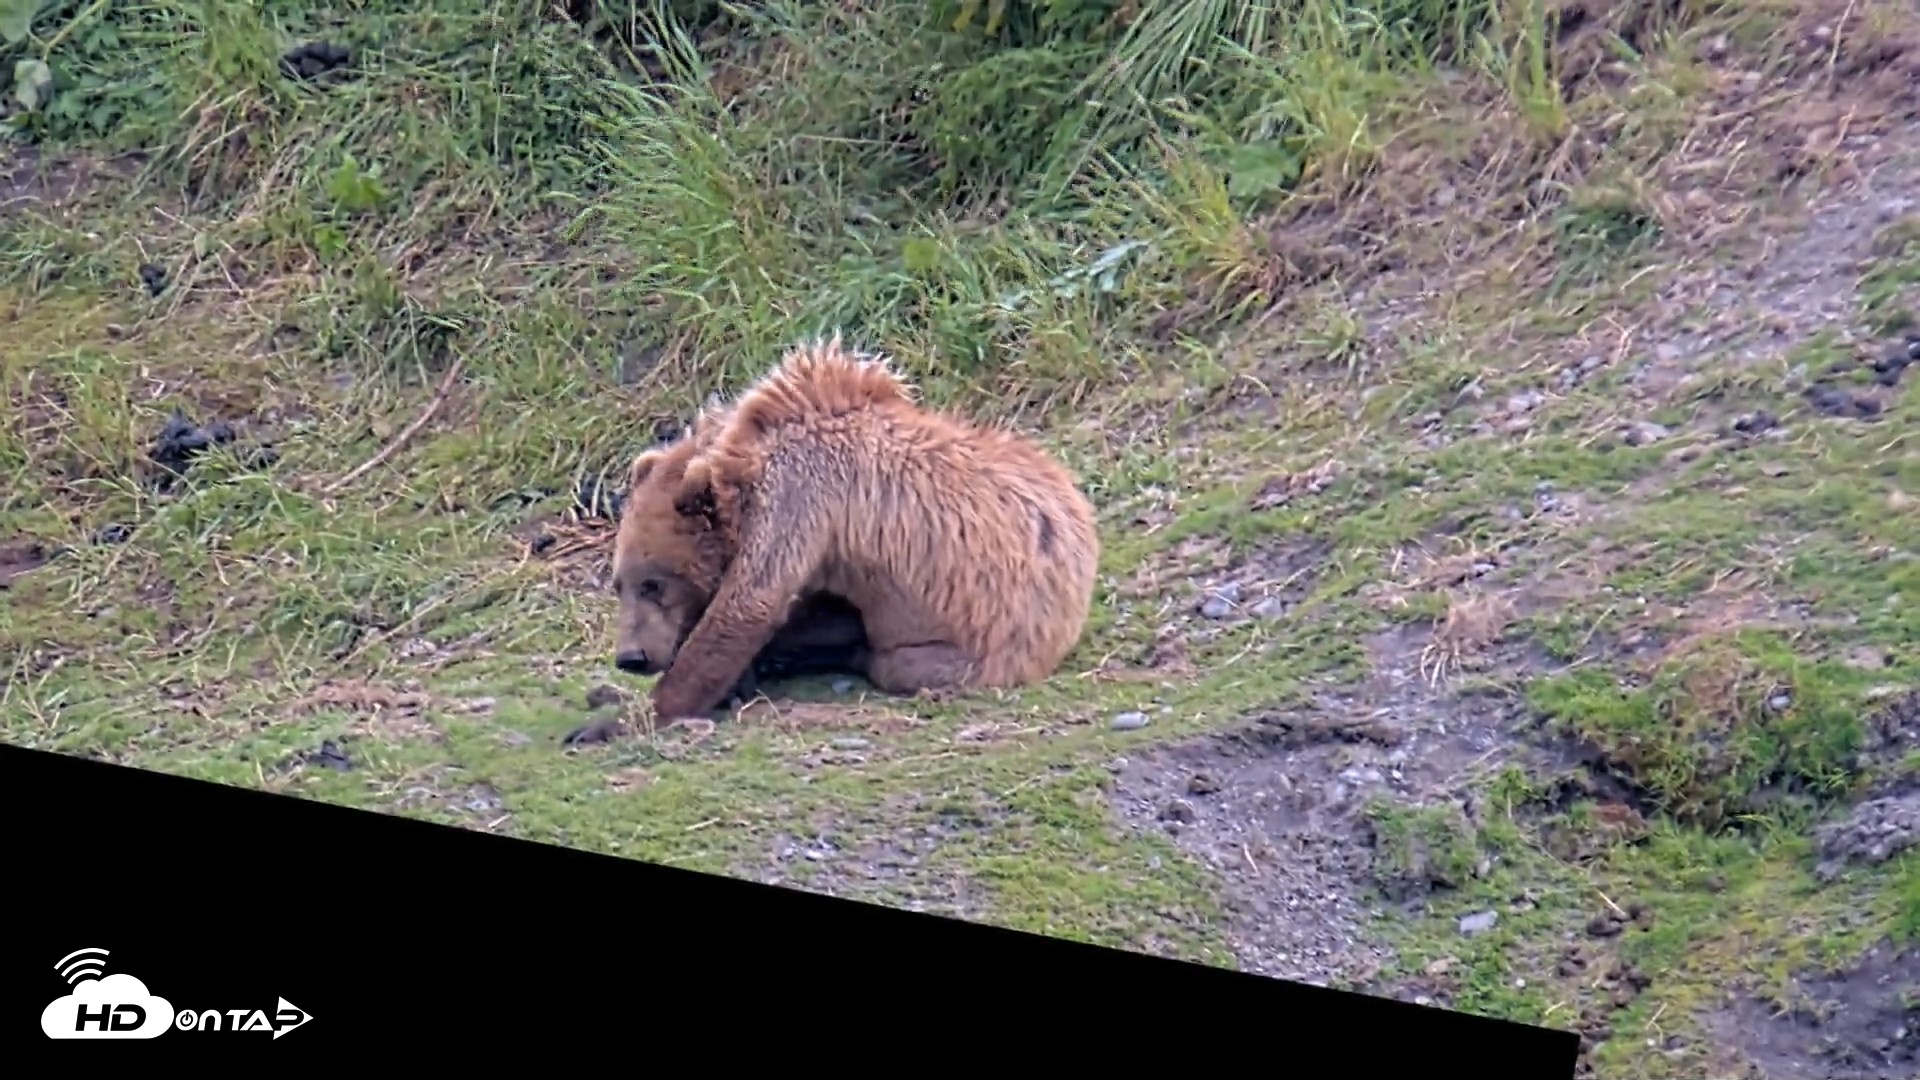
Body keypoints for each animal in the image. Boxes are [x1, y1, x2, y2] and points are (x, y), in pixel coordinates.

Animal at [602, 334, 1101, 726]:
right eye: (619, 584)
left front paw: (635, 713)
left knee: (897, 662)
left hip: (986, 643)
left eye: (653, 583)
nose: (631, 658)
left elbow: (750, 604)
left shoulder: (800, 493)